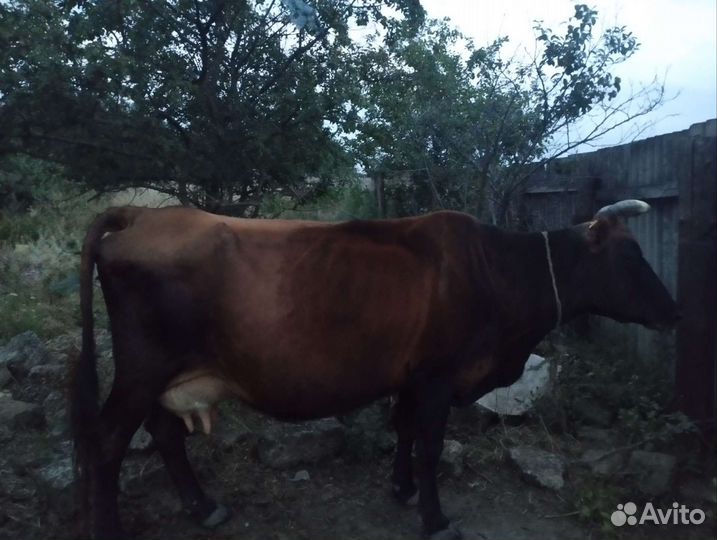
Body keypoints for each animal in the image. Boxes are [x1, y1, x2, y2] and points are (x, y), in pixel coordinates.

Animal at [70, 199, 679, 539]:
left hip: (160, 376)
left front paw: (402, 489)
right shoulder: (438, 376)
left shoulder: (410, 377)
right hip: (141, 369)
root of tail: (143, 213)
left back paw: (203, 508)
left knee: (164, 433)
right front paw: (435, 520)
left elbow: (403, 430)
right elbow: (430, 446)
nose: (673, 310)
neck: (496, 271)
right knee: (108, 441)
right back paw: (111, 529)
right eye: (631, 256)